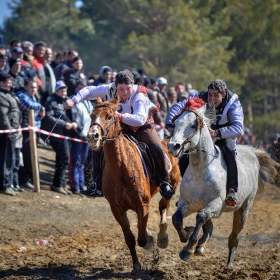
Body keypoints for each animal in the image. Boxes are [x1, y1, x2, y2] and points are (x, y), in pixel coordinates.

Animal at [86, 96, 180, 270]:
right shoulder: (116, 209)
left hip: (172, 186)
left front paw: (150, 241)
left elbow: (142, 239)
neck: (122, 169)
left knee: (163, 206)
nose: (92, 136)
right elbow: (130, 238)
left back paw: (162, 238)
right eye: (92, 116)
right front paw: (136, 264)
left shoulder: (142, 205)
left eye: (109, 116)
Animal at [166, 100, 278, 266]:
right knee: (208, 226)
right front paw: (186, 235)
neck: (201, 169)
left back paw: (229, 263)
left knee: (233, 236)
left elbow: (201, 216)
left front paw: (188, 249)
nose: (173, 146)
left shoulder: (217, 203)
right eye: (176, 122)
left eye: (193, 125)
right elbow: (176, 219)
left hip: (244, 209)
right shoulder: (187, 202)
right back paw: (201, 245)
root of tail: (252, 152)